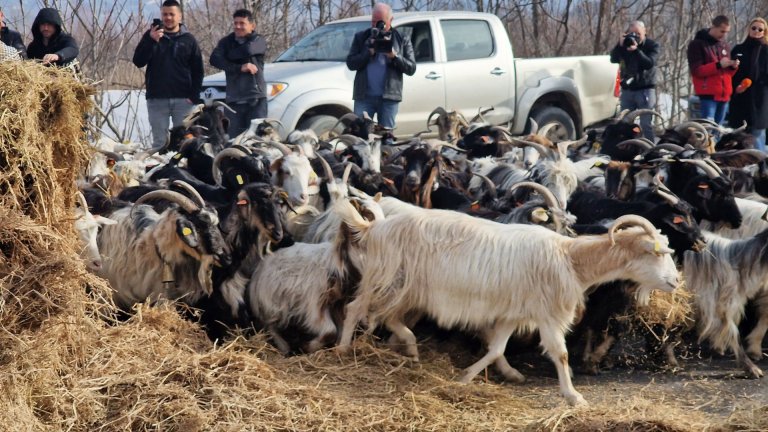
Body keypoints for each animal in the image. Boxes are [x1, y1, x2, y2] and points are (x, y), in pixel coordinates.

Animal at [338, 208, 680, 406]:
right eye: (657, 253)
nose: (676, 281)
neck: (570, 258)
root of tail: (375, 228)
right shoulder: (547, 313)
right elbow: (560, 353)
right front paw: (573, 395)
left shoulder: (513, 313)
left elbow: (496, 348)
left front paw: (467, 377)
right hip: (387, 278)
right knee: (356, 308)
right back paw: (342, 351)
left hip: (406, 287)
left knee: (389, 317)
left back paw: (409, 348)